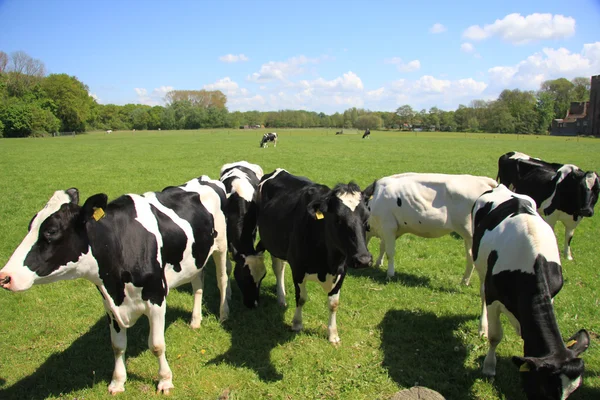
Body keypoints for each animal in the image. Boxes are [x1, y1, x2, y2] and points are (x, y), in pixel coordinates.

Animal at [0, 177, 230, 396]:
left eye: (51, 231)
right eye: (30, 226)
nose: (5, 277)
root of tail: (203, 179)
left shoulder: (156, 296)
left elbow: (157, 345)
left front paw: (165, 380)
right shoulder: (110, 304)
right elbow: (117, 345)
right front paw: (118, 382)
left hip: (222, 246)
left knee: (222, 279)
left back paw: (223, 314)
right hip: (195, 257)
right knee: (197, 283)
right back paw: (195, 321)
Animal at [219, 161, 266, 308]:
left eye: (263, 276)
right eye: (245, 277)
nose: (253, 304)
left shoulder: (253, 230)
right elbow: (227, 268)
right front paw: (227, 294)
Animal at [237, 170, 372, 344]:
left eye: (366, 219)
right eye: (337, 219)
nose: (364, 260)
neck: (328, 263)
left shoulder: (342, 270)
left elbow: (334, 303)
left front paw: (333, 334)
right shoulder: (298, 269)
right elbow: (301, 298)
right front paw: (297, 324)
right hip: (271, 243)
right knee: (278, 268)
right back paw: (281, 298)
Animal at [364, 173, 500, 284]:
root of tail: (482, 180)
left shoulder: (388, 226)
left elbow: (390, 252)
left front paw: (390, 274)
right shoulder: (389, 230)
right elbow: (383, 247)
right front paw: (378, 263)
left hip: (471, 234)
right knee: (470, 256)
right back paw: (464, 281)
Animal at [472, 184, 588, 400]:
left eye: (571, 392)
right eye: (545, 388)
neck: (531, 264)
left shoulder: (551, 294)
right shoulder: (494, 297)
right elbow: (495, 336)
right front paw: (489, 367)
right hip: (481, 267)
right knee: (482, 293)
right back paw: (482, 326)